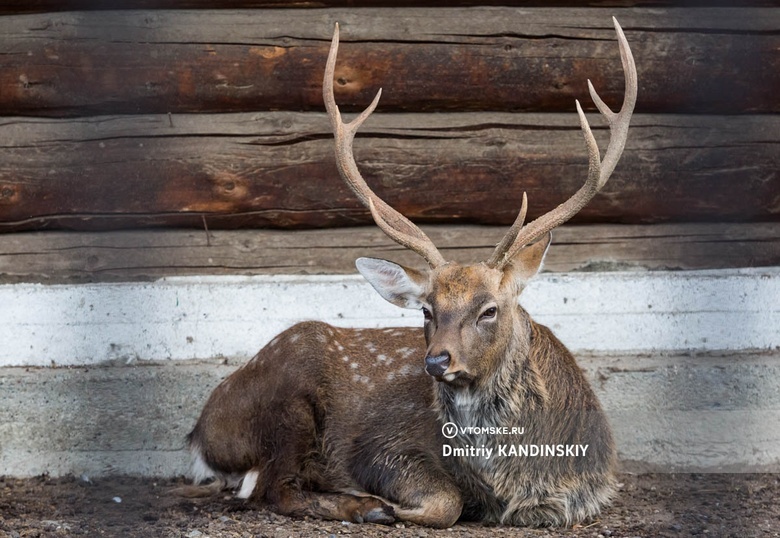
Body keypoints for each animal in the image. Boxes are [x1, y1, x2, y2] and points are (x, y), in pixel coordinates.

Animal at [186, 17, 636, 528]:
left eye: (489, 310)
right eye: (426, 310)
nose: (436, 361)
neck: (519, 480)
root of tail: (200, 433)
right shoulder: (380, 447)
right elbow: (446, 502)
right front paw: (387, 504)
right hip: (287, 400)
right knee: (274, 489)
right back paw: (364, 506)